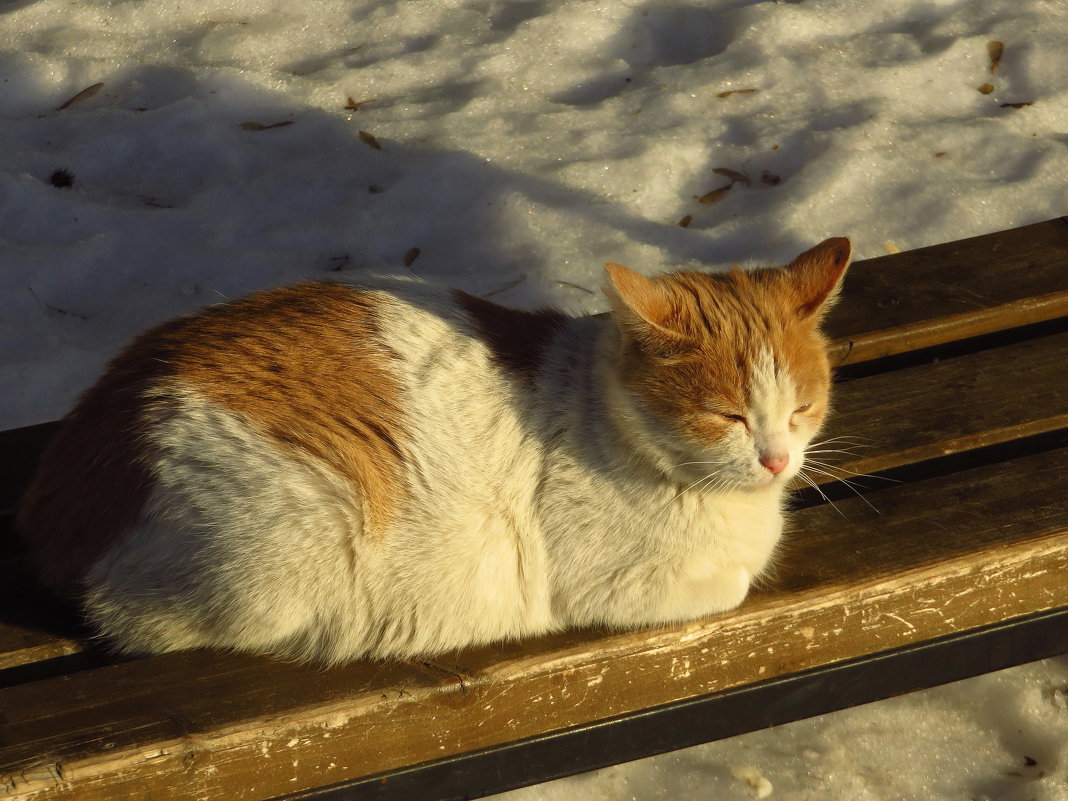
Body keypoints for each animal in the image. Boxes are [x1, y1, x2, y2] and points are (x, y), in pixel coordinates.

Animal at [16, 238, 850, 666]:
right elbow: (735, 582)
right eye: (727, 415)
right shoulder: (615, 584)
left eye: (801, 408)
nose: (777, 459)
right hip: (287, 550)